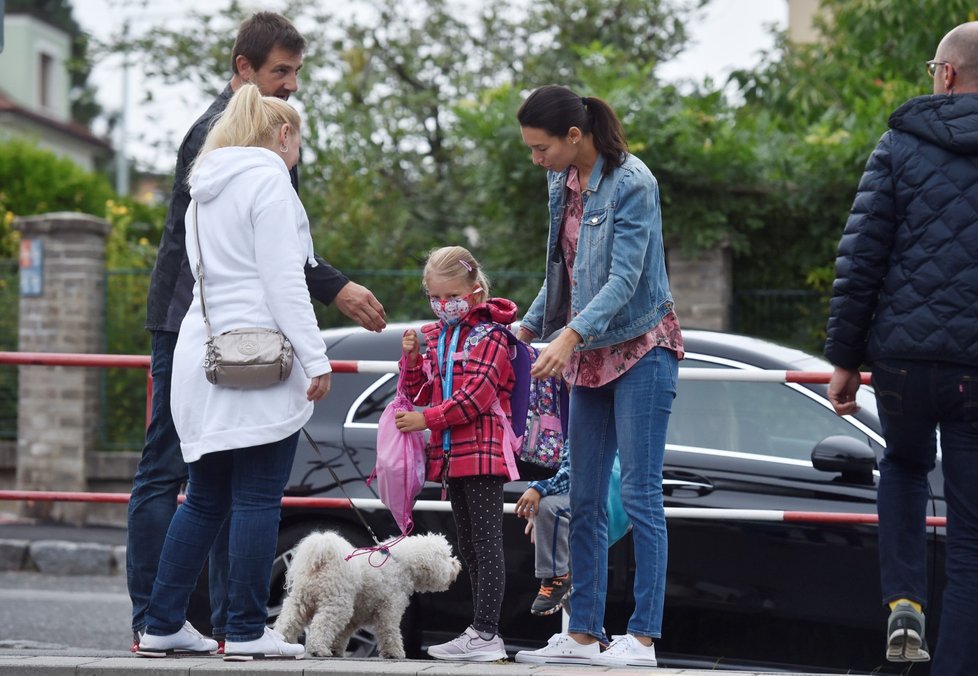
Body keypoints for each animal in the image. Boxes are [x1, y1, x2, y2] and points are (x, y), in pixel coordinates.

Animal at [272, 532, 460, 656]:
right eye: (445, 557)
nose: (456, 564)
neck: (399, 564)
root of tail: (323, 562)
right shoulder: (389, 610)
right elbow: (390, 632)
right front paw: (395, 653)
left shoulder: (356, 616)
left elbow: (343, 634)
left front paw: (337, 649)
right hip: (337, 604)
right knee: (320, 626)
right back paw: (319, 649)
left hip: (301, 600)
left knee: (288, 621)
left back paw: (283, 644)